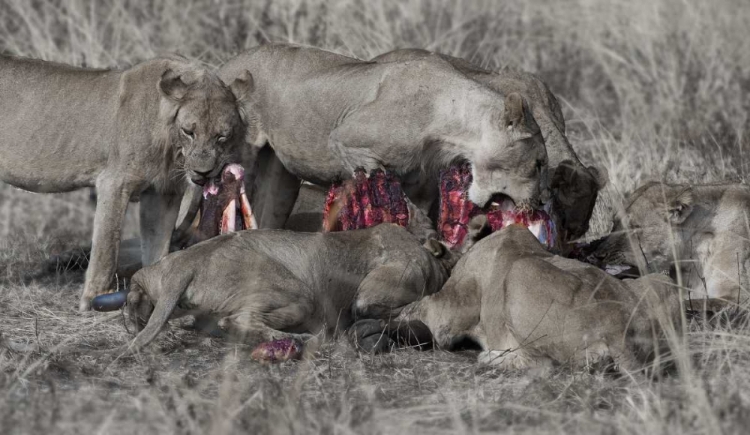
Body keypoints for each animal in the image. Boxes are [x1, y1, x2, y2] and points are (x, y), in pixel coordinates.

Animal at [0, 52, 253, 312]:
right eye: (188, 131)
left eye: (222, 136)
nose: (203, 172)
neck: (171, 145)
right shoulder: (114, 182)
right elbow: (107, 244)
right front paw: (96, 299)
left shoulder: (163, 192)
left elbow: (158, 245)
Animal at [217, 44, 552, 233]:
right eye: (538, 164)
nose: (539, 202)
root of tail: (226, 63)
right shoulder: (347, 139)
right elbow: (398, 201)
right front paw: (426, 236)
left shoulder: (419, 180)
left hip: (280, 176)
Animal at [362, 216, 684, 372]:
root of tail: (620, 333)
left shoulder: (448, 313)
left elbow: (420, 308)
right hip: (661, 282)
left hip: (521, 271)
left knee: (545, 366)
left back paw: (491, 358)